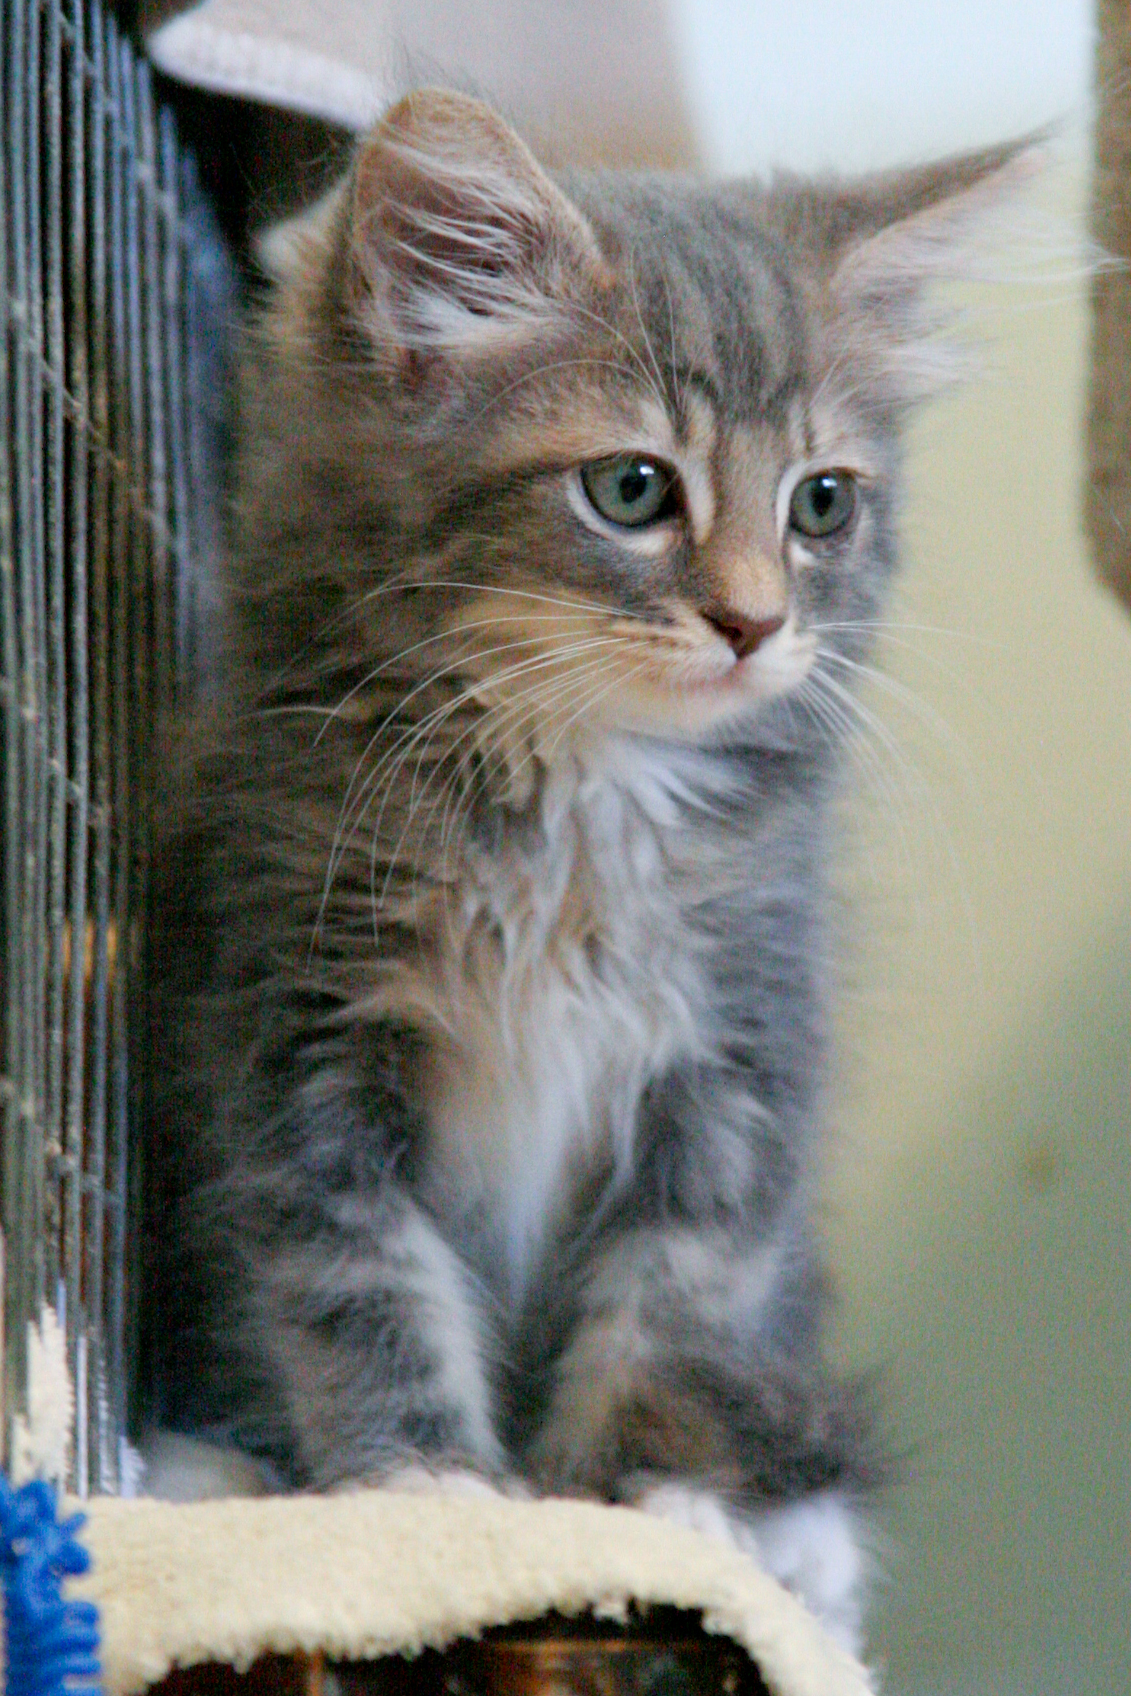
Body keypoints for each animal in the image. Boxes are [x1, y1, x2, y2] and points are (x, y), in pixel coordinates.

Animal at [155, 86, 1030, 1648]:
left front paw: (632, 1510)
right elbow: (355, 1282)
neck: (577, 804)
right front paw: (423, 1491)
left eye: (820, 506)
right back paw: (211, 1470)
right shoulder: (289, 1024)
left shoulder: (737, 1062)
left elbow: (667, 1307)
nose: (753, 622)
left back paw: (796, 1547)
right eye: (631, 489)